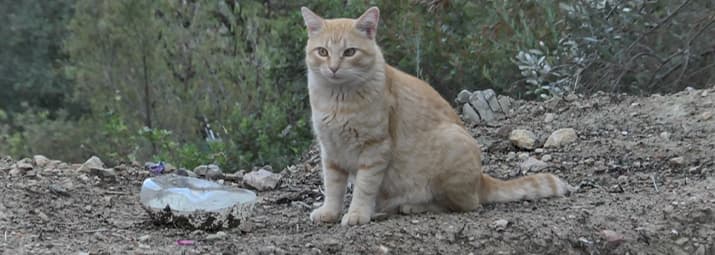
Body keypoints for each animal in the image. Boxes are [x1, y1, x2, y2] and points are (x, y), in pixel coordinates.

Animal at [300, 5, 576, 225]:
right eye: (322, 52)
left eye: (349, 52)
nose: (333, 68)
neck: (337, 100)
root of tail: (481, 179)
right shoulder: (331, 151)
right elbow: (333, 187)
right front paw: (329, 212)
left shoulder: (375, 148)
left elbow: (364, 187)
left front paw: (357, 213)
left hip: (451, 148)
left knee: (465, 205)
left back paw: (413, 206)